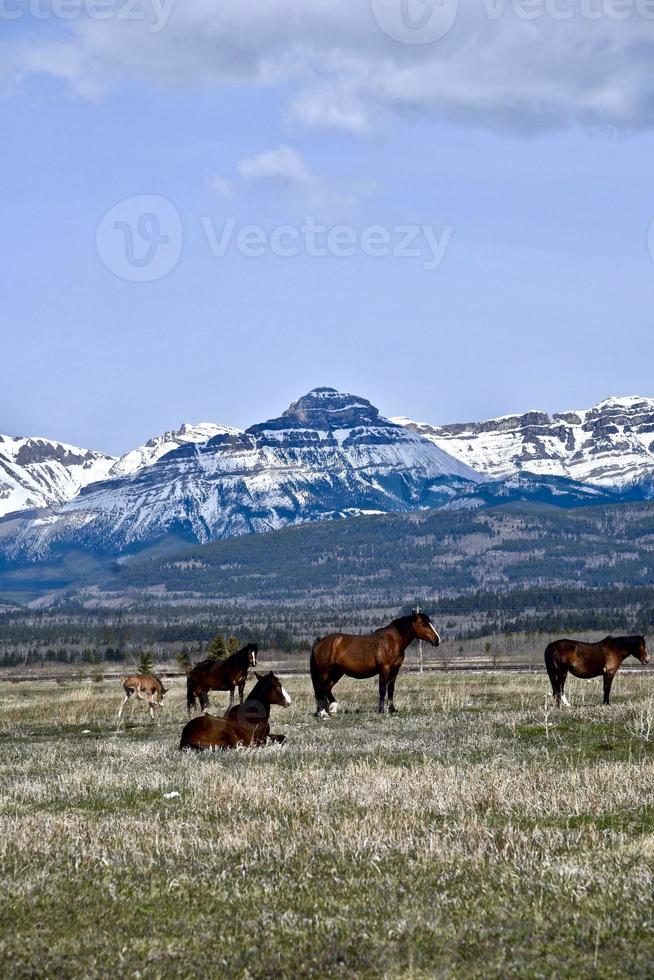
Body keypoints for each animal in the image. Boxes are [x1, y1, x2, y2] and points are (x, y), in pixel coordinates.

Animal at [310, 608, 444, 716]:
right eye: (423, 623)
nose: (437, 640)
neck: (391, 642)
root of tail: (319, 643)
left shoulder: (395, 670)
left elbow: (391, 689)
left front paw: (392, 709)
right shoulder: (384, 669)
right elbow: (382, 689)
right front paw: (381, 710)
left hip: (337, 672)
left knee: (327, 688)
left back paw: (331, 709)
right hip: (325, 672)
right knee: (320, 688)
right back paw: (322, 712)